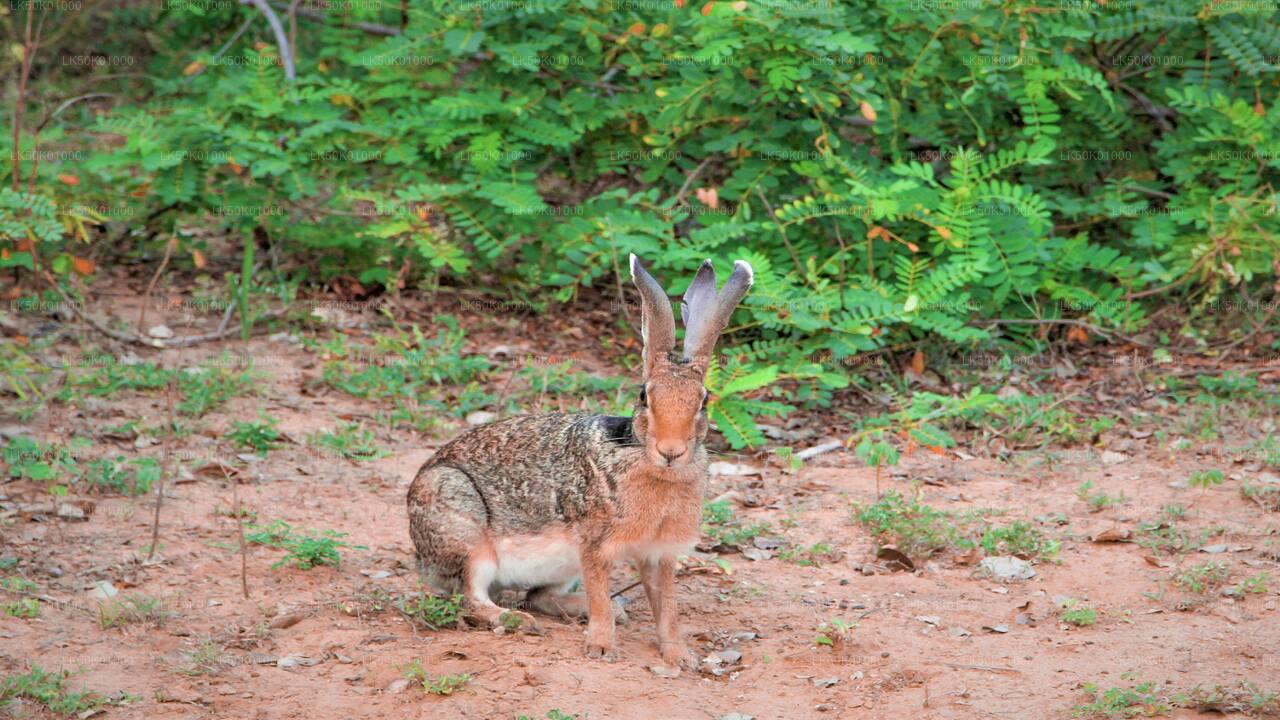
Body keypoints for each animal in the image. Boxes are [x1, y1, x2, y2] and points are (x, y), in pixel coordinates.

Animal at [406, 254, 753, 666]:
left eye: (704, 401)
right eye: (644, 396)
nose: (671, 451)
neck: (644, 459)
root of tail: (422, 558)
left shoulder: (658, 553)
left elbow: (666, 605)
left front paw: (679, 656)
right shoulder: (594, 545)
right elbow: (601, 593)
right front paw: (602, 647)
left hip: (558, 568)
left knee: (539, 597)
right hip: (463, 528)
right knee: (472, 598)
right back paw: (516, 622)